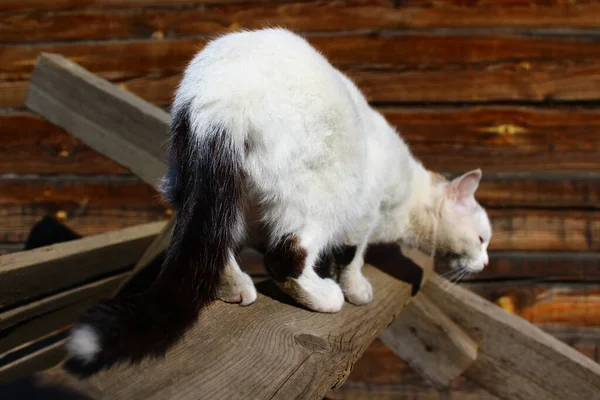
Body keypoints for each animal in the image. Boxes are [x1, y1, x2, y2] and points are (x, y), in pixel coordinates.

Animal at [63, 27, 490, 376]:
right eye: (483, 238)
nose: (485, 263)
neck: (410, 198)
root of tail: (218, 96)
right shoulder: (364, 214)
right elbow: (352, 256)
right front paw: (355, 289)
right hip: (329, 192)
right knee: (285, 255)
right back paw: (323, 297)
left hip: (199, 183)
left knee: (214, 237)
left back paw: (235, 287)